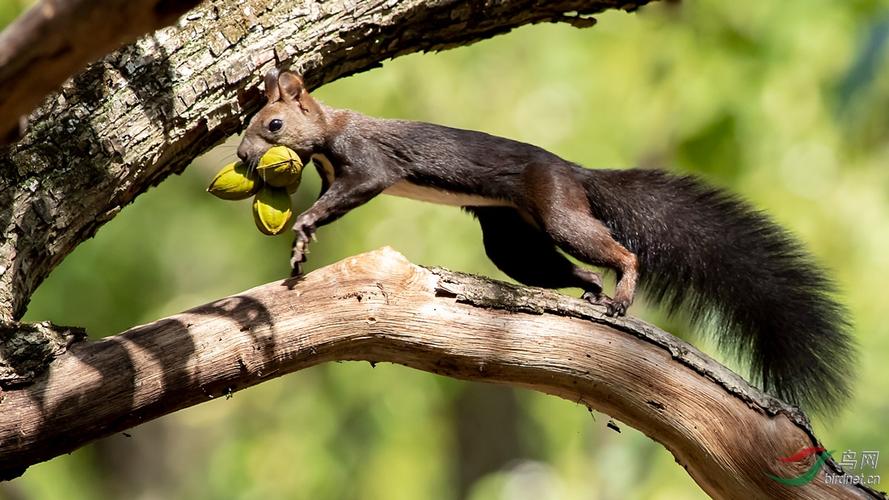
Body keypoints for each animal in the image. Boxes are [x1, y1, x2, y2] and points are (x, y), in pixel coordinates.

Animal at [236, 69, 852, 414]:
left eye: (273, 125)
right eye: (248, 124)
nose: (242, 156)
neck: (330, 132)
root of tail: (576, 174)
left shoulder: (369, 163)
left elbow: (358, 186)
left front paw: (303, 227)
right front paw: (299, 245)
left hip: (557, 213)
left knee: (620, 252)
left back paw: (621, 295)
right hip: (513, 239)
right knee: (568, 268)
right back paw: (591, 293)